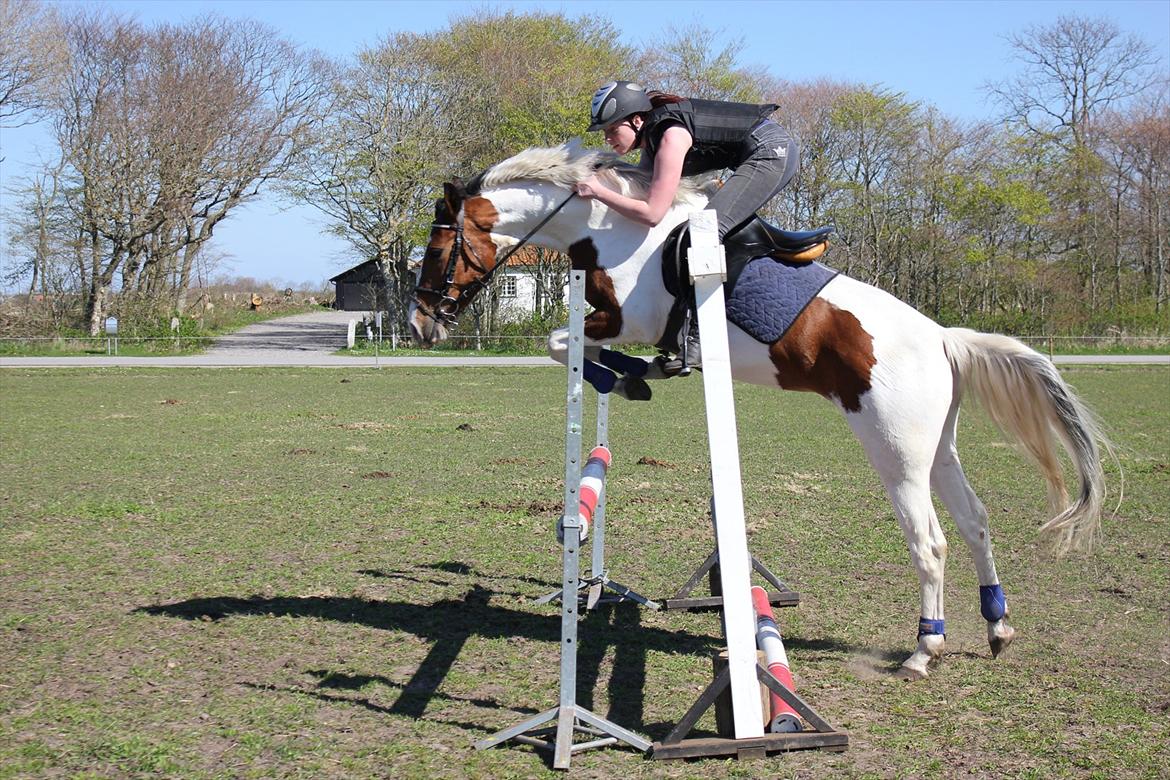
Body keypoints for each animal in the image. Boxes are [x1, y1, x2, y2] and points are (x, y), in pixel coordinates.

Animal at [407, 142, 1109, 682]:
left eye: (437, 251)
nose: (420, 325)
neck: (612, 230)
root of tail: (943, 337)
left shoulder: (628, 317)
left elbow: (561, 341)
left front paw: (628, 377)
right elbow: (568, 344)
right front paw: (637, 376)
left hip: (896, 450)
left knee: (930, 541)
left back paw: (922, 649)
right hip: (936, 447)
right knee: (975, 522)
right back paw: (997, 628)